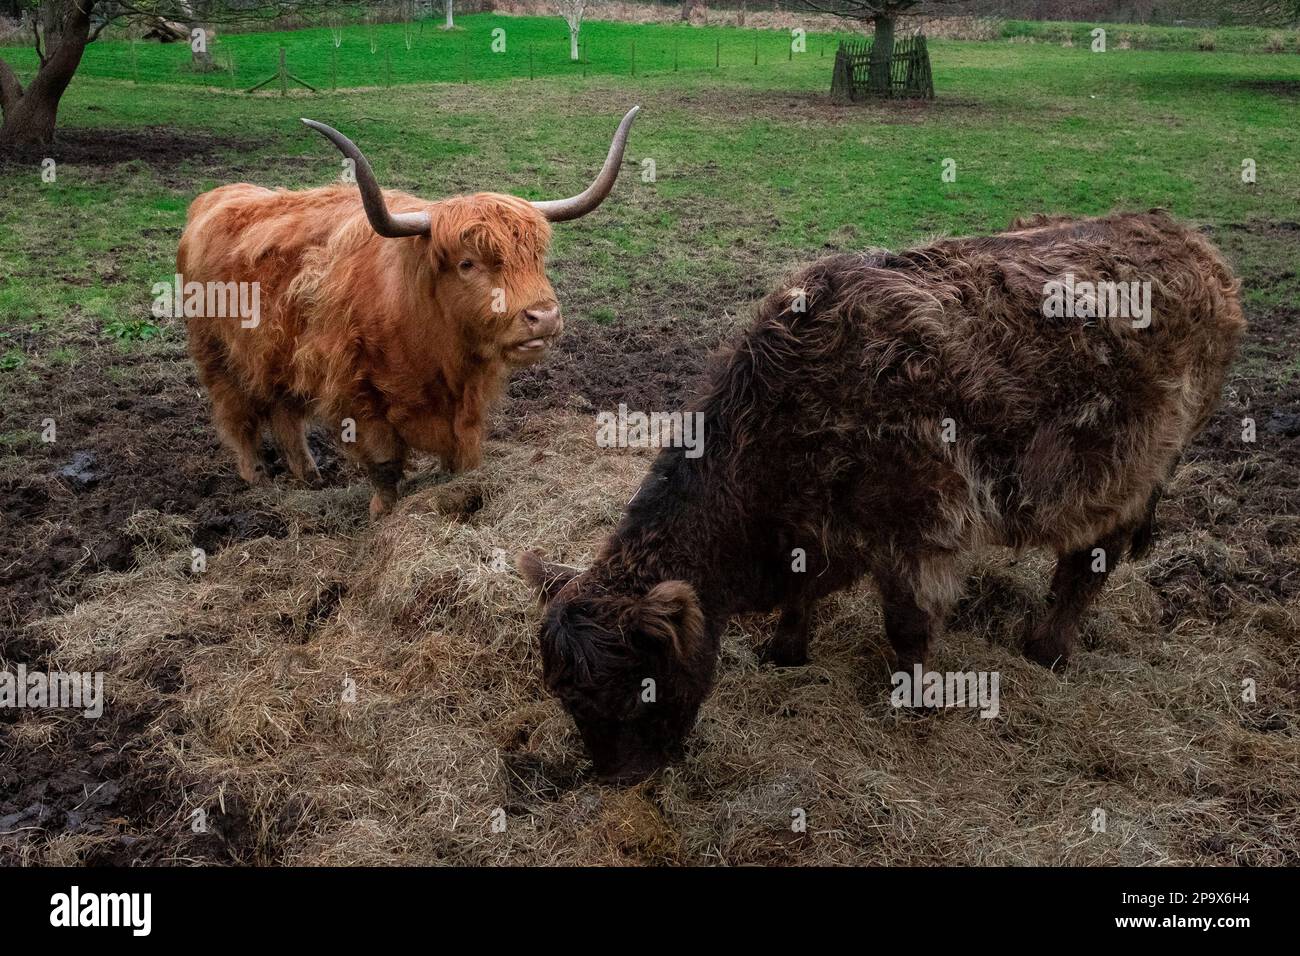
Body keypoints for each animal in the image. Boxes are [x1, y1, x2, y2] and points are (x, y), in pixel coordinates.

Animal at [522, 209, 1242, 785]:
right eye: (568, 699)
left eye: (639, 691)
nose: (620, 780)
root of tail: (1186, 239)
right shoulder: (813, 529)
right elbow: (804, 593)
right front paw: (785, 650)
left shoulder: (922, 522)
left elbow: (908, 626)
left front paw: (916, 704)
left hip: (1135, 465)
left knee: (1093, 557)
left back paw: (1049, 646)